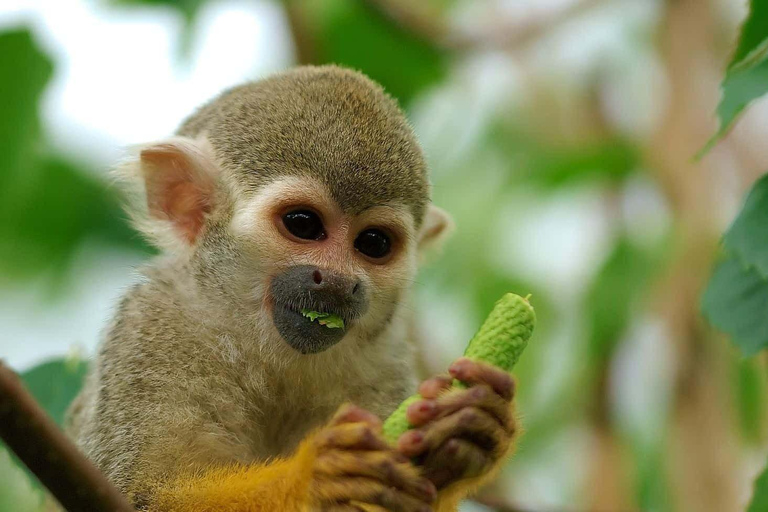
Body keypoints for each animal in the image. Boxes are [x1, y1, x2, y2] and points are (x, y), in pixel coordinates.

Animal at [66, 66, 520, 510]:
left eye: (374, 244)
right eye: (302, 224)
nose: (339, 281)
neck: (262, 347)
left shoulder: (384, 361)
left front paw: (463, 436)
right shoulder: (152, 328)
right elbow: (144, 493)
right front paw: (313, 478)